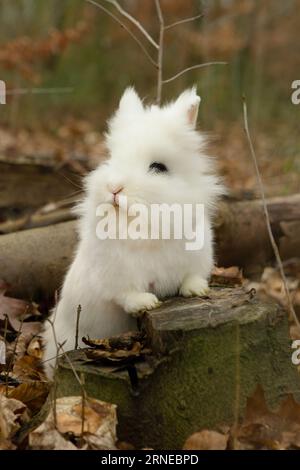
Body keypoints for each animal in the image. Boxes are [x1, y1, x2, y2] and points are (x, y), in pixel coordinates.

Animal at [43, 86, 224, 376]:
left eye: (158, 167)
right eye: (113, 158)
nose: (114, 188)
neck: (147, 220)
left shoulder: (197, 255)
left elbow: (192, 276)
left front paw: (196, 291)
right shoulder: (117, 277)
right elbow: (127, 295)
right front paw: (147, 303)